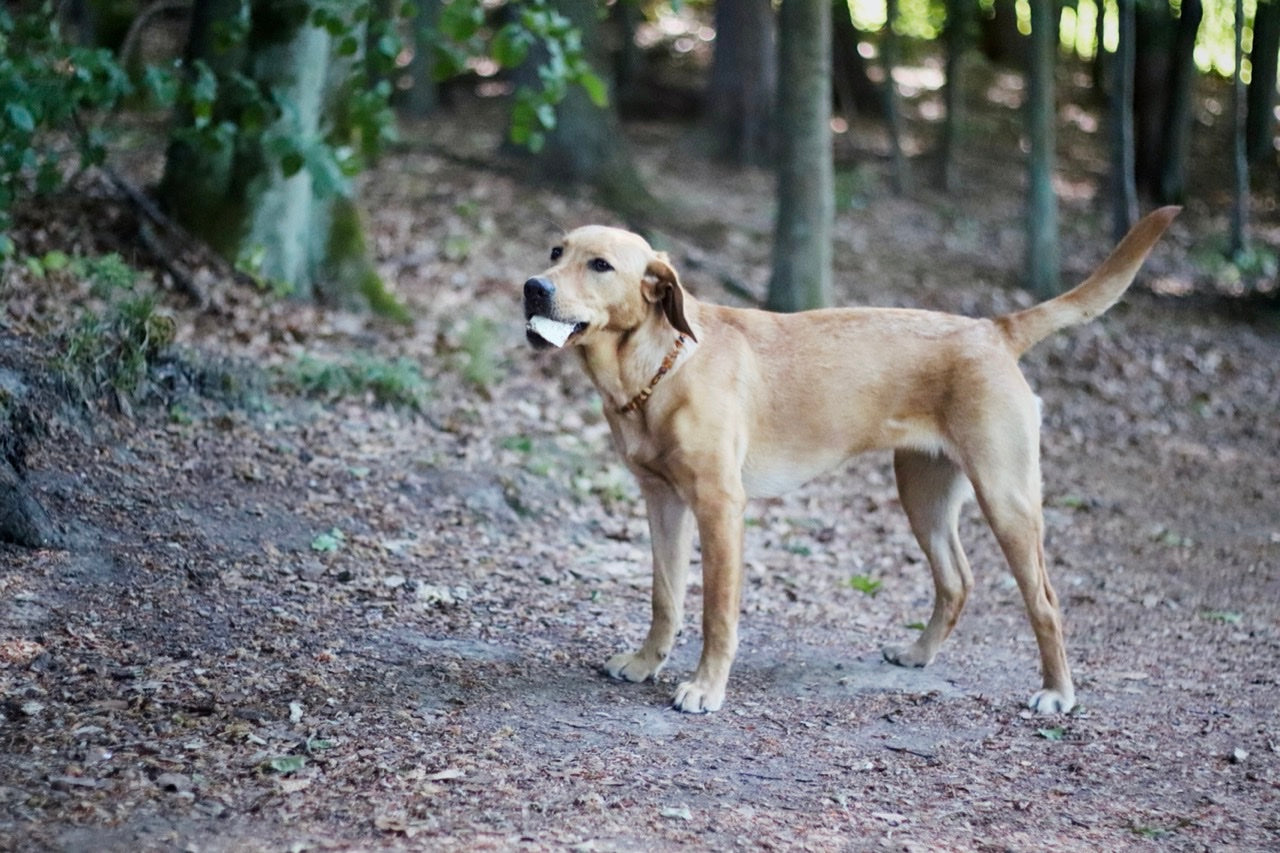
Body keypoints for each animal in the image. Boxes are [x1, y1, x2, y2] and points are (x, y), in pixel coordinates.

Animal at [519, 207, 1177, 712]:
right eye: (556, 250)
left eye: (600, 265)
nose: (533, 286)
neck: (659, 367)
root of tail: (995, 328)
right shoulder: (662, 502)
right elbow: (666, 598)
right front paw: (645, 662)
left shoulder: (719, 507)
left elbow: (716, 614)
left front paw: (705, 688)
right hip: (923, 494)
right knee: (956, 581)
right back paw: (917, 654)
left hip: (1007, 498)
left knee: (1044, 600)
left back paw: (1058, 693)